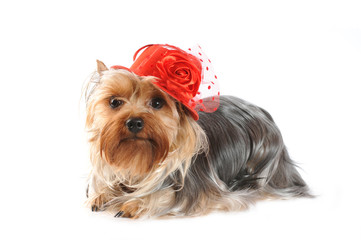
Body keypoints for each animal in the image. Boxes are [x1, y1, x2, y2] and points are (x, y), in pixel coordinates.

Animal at [83, 44, 310, 218]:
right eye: (114, 102)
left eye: (157, 102)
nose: (134, 123)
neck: (138, 159)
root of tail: (263, 112)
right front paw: (102, 195)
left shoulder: (199, 192)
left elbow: (167, 196)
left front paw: (135, 203)